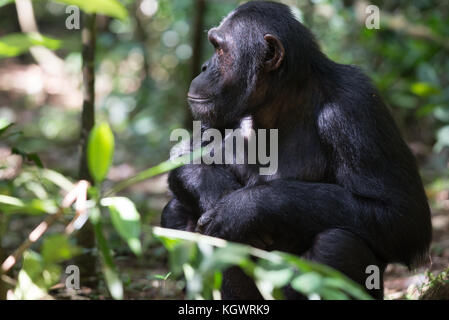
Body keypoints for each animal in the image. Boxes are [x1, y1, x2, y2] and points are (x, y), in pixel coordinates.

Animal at [160, 0, 430, 300]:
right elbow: (184, 154)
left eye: (219, 48)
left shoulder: (355, 106)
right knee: (175, 209)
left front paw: (242, 209)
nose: (205, 66)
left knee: (337, 243)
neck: (279, 101)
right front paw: (215, 192)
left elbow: (400, 214)